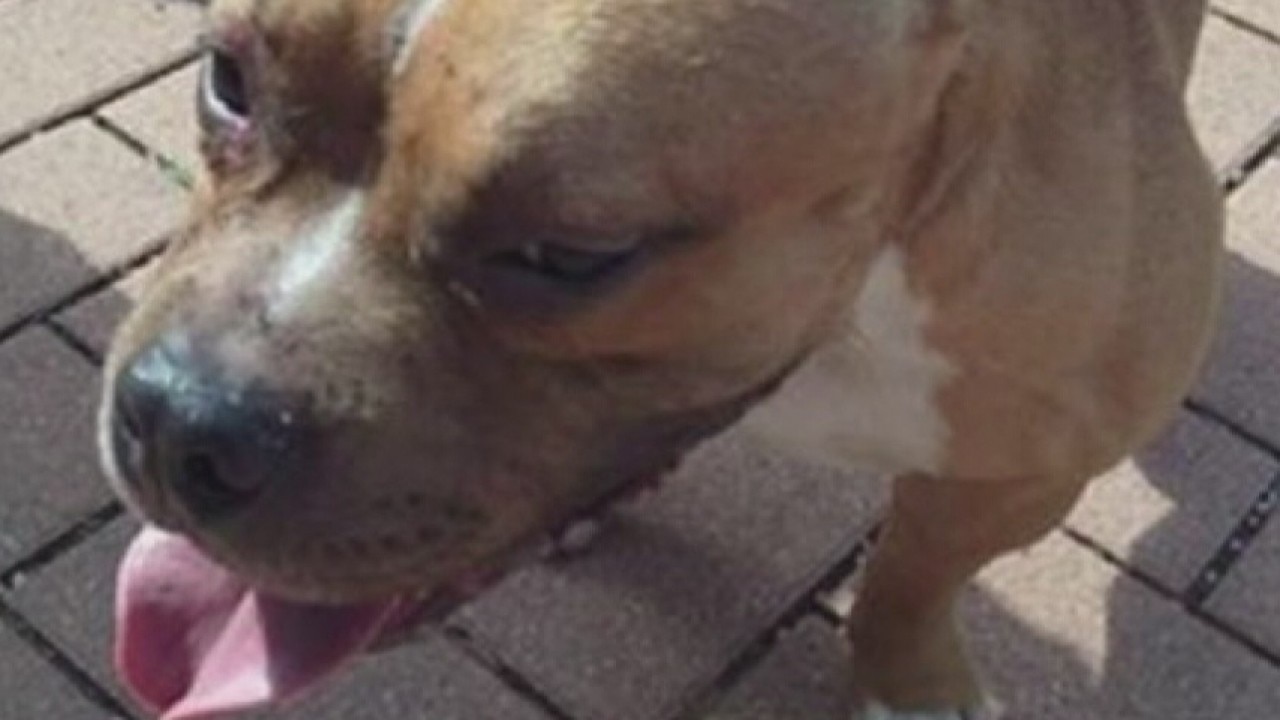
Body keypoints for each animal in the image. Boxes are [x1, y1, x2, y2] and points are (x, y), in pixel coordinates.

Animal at [98, 1, 1223, 718]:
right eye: (226, 79)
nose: (179, 421)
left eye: (571, 254)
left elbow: (912, 573)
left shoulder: (1018, 472)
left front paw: (910, 691)